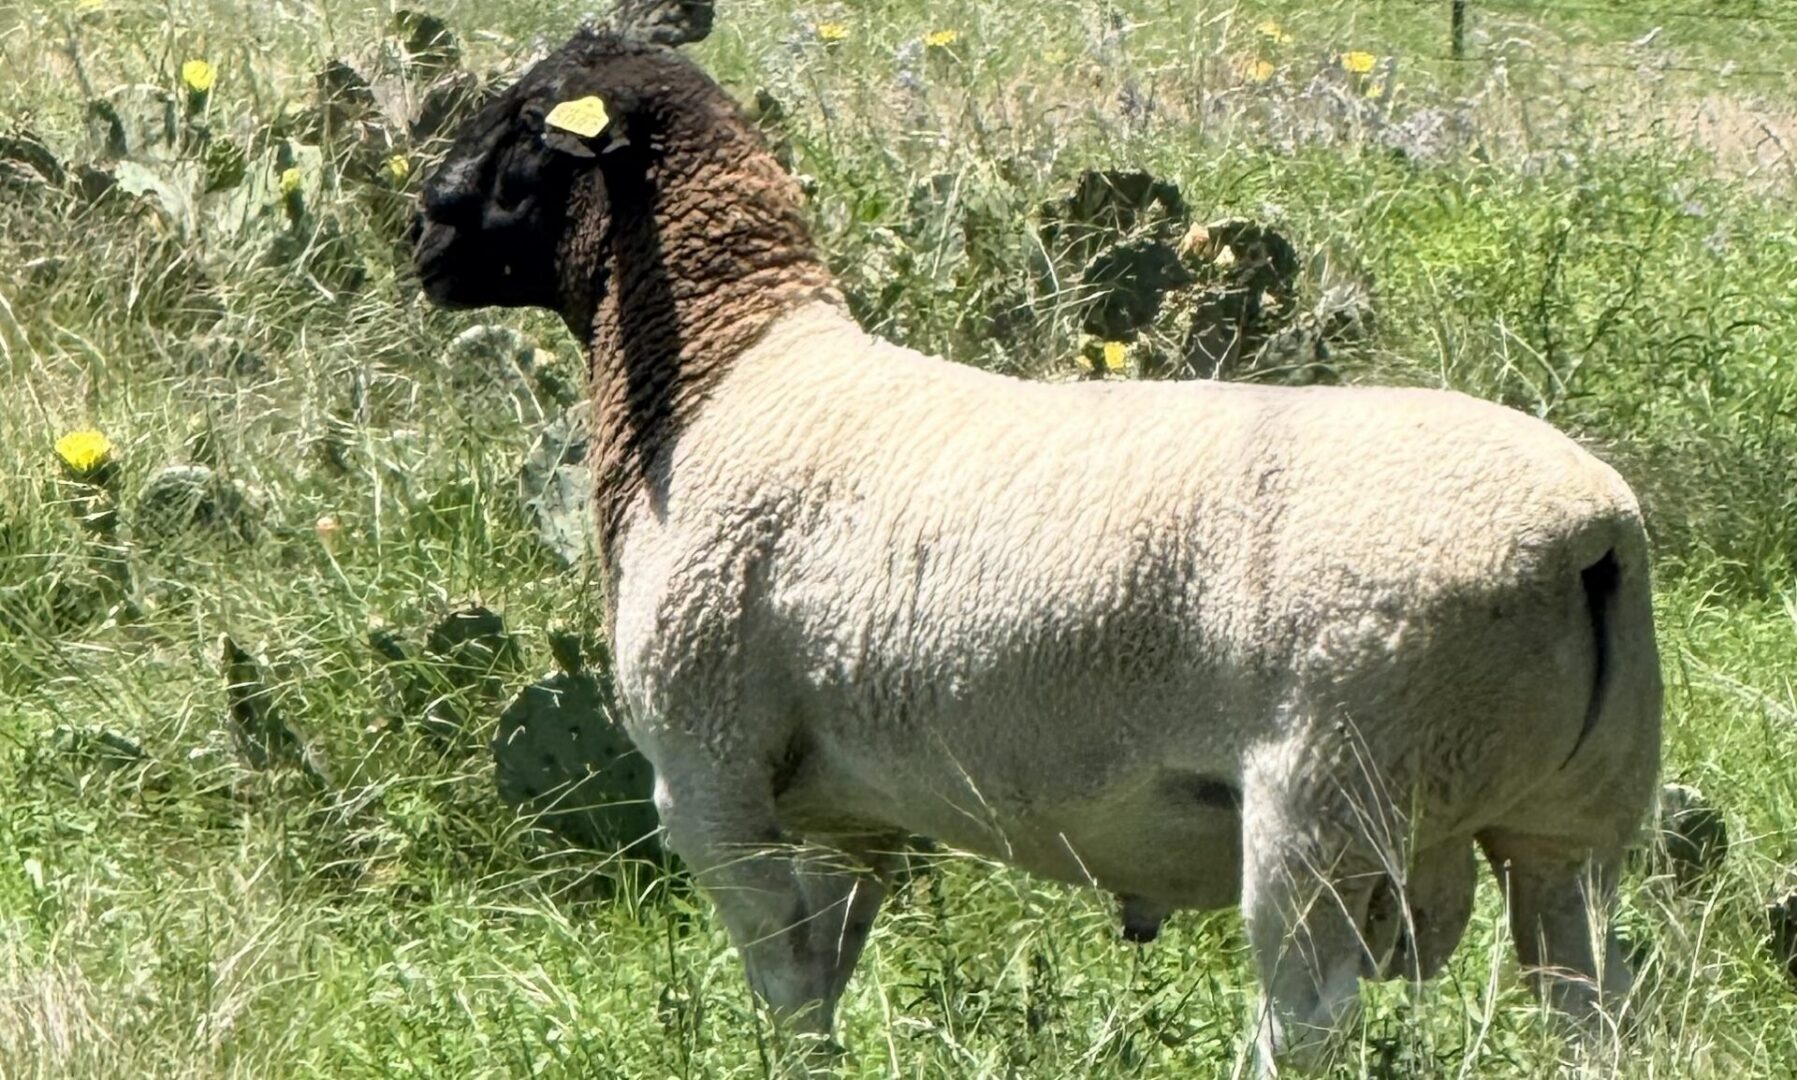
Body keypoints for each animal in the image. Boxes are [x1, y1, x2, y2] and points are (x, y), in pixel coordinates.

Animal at [414, 29, 1662, 1072]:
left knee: (1306, 1021)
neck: (725, 380)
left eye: (526, 120)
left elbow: (785, 987)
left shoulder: (707, 774)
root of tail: (1589, 533)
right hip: (1579, 820)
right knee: (1586, 1004)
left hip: (1330, 802)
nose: (424, 230)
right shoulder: (859, 812)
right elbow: (828, 966)